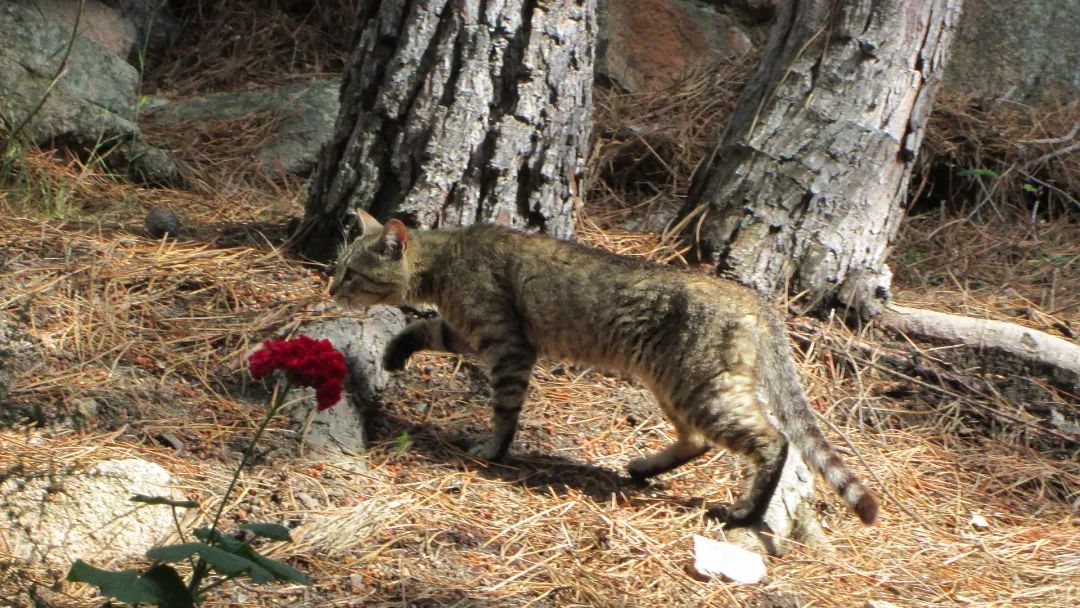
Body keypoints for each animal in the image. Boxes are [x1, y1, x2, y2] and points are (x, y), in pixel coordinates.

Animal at [328, 211, 876, 524]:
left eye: (350, 272)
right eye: (338, 267)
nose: (331, 289)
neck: (449, 258)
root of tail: (754, 299)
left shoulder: (508, 345)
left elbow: (504, 411)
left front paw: (493, 449)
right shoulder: (466, 331)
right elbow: (422, 331)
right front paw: (394, 352)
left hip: (700, 389)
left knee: (773, 442)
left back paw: (745, 511)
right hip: (678, 388)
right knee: (698, 440)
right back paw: (642, 467)